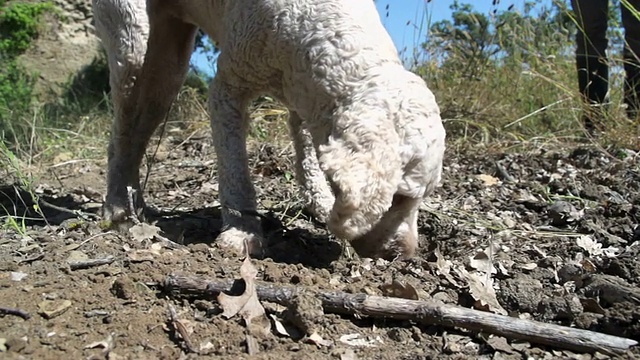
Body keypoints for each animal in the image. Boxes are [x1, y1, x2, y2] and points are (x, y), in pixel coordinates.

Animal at [92, 0, 444, 258]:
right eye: (398, 198)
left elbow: (308, 153)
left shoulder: (305, 94)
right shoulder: (227, 88)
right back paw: (118, 206)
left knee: (140, 127)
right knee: (123, 130)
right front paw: (242, 231)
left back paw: (134, 201)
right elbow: (235, 171)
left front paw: (321, 202)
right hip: (134, 41)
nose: (404, 254)